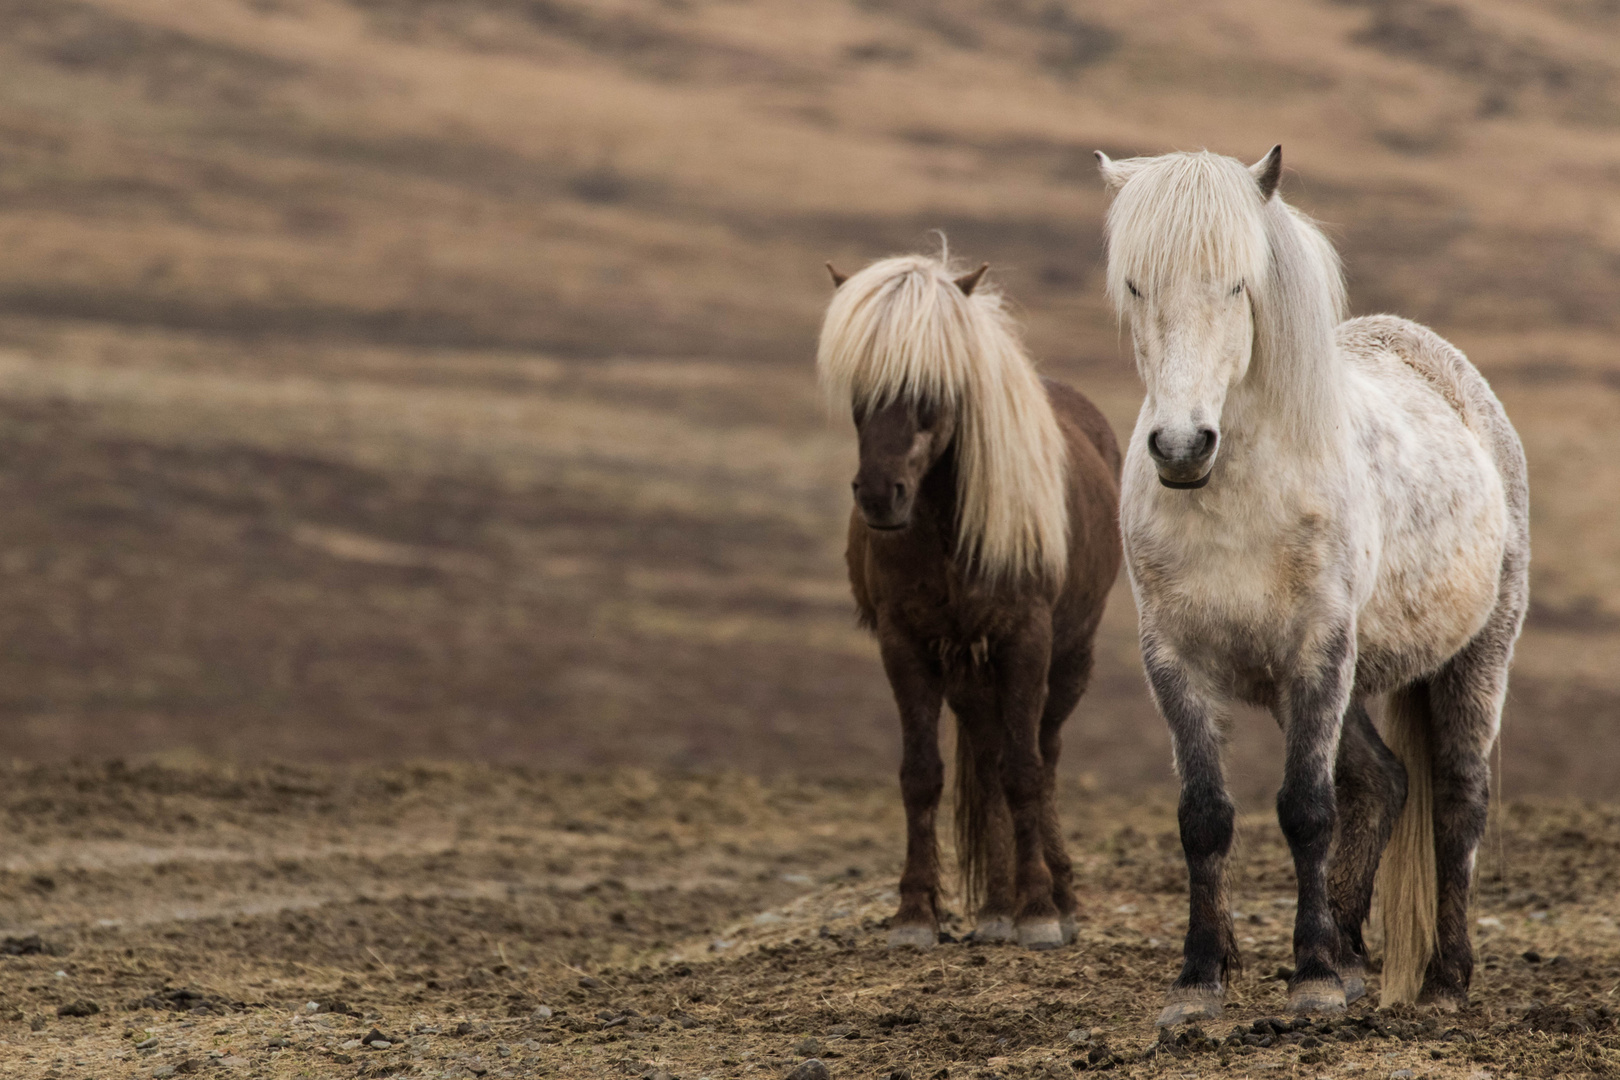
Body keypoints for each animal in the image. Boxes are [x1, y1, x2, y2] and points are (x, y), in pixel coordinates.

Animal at [816, 254, 1121, 945]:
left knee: (1044, 753)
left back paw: (1058, 896)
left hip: (1068, 657)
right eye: (860, 387)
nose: (880, 496)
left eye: (934, 386)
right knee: (987, 755)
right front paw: (915, 913)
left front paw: (1039, 912)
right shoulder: (906, 644)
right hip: (969, 672)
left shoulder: (1027, 639)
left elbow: (1025, 772)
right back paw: (994, 909)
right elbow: (922, 775)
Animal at [1095, 148, 1522, 1029]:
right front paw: (1199, 981)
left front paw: (1313, 979)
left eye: (1236, 285)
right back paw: (1358, 957)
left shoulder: (1318, 652)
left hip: (1478, 655)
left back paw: (1444, 981)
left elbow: (1305, 808)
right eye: (1136, 286)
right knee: (1384, 783)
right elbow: (1204, 815)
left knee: (1457, 800)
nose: (1181, 446)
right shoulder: (1175, 661)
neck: (1238, 498)